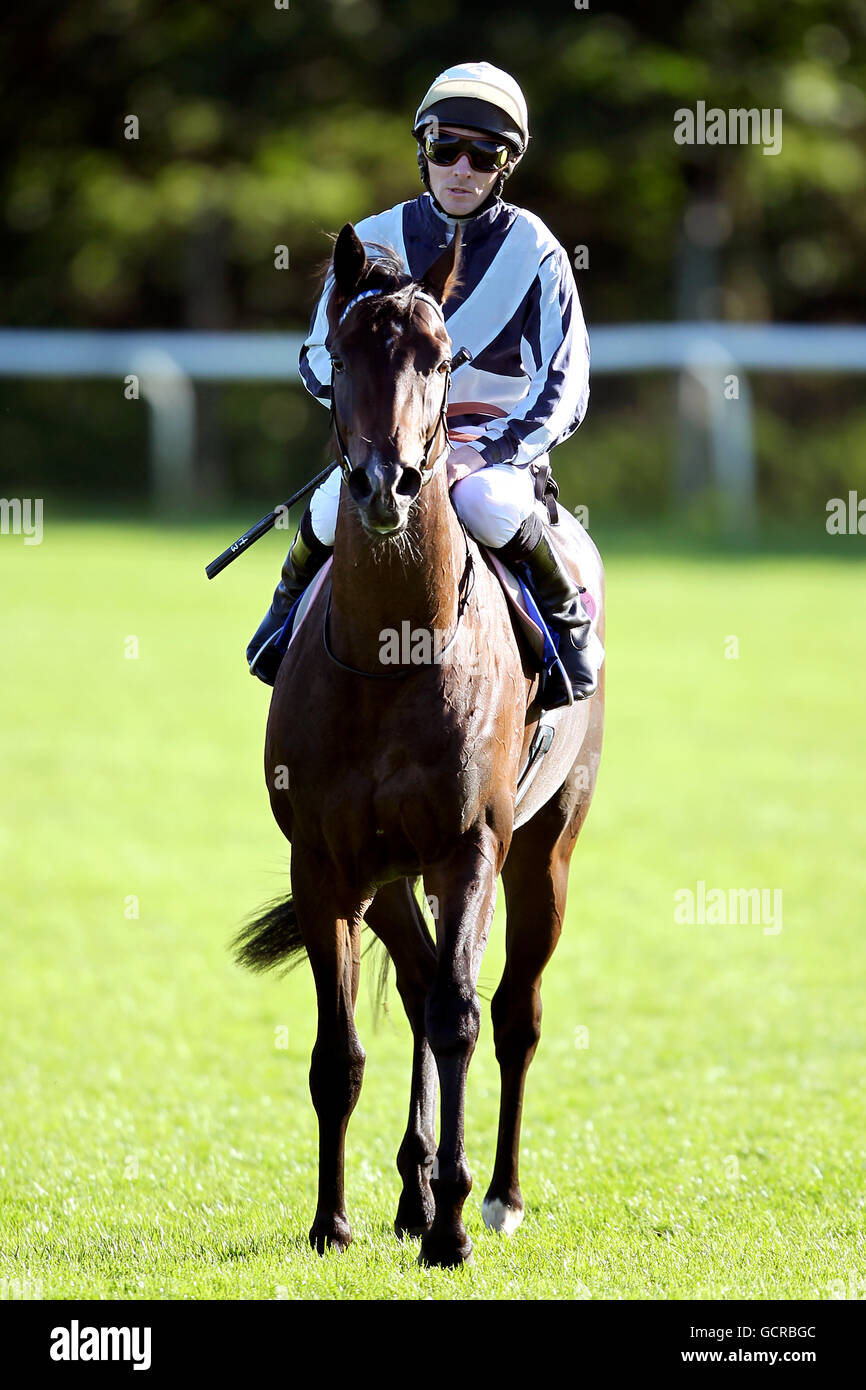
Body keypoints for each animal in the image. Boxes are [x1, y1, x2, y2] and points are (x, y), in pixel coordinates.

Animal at [233, 219, 606, 1273]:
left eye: (440, 357)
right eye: (344, 352)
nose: (385, 483)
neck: (391, 656)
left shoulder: (470, 846)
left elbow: (460, 1016)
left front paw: (452, 1228)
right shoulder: (323, 862)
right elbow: (339, 1051)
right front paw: (334, 1221)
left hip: (545, 848)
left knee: (510, 1010)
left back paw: (498, 1195)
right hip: (395, 875)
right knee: (414, 983)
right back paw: (410, 1186)